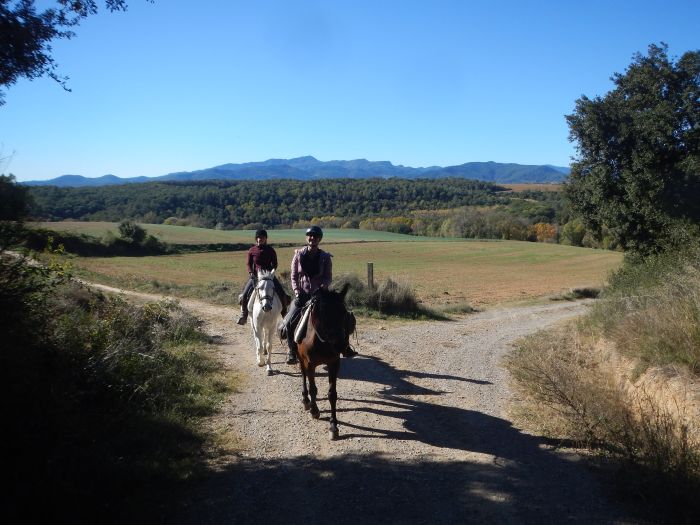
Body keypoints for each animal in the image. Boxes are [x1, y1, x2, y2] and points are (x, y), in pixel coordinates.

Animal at [292, 282, 352, 438]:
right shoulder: (310, 364)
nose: (340, 345)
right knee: (303, 376)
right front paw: (314, 410)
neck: (322, 341)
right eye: (324, 314)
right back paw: (306, 400)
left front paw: (333, 426)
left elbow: (332, 394)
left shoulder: (334, 363)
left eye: (344, 313)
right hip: (301, 359)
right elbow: (313, 389)